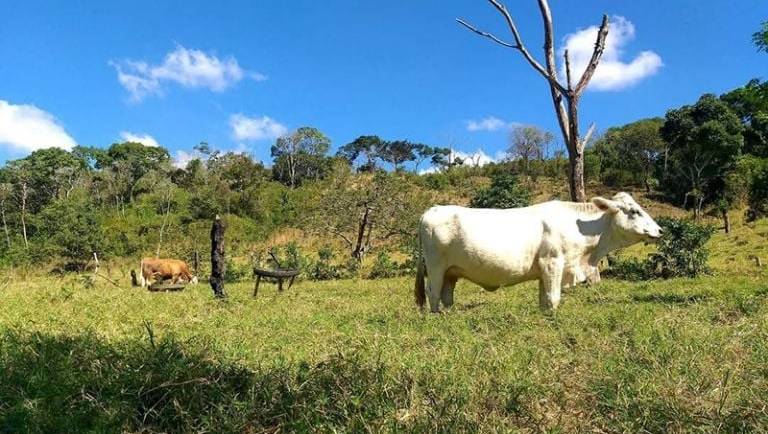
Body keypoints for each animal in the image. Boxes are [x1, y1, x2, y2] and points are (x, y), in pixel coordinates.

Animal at [414, 193, 660, 312]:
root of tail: (433, 209)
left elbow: (544, 300)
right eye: (634, 211)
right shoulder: (553, 263)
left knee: (447, 296)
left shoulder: (545, 269)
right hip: (435, 268)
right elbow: (554, 298)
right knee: (432, 294)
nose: (660, 230)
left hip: (451, 272)